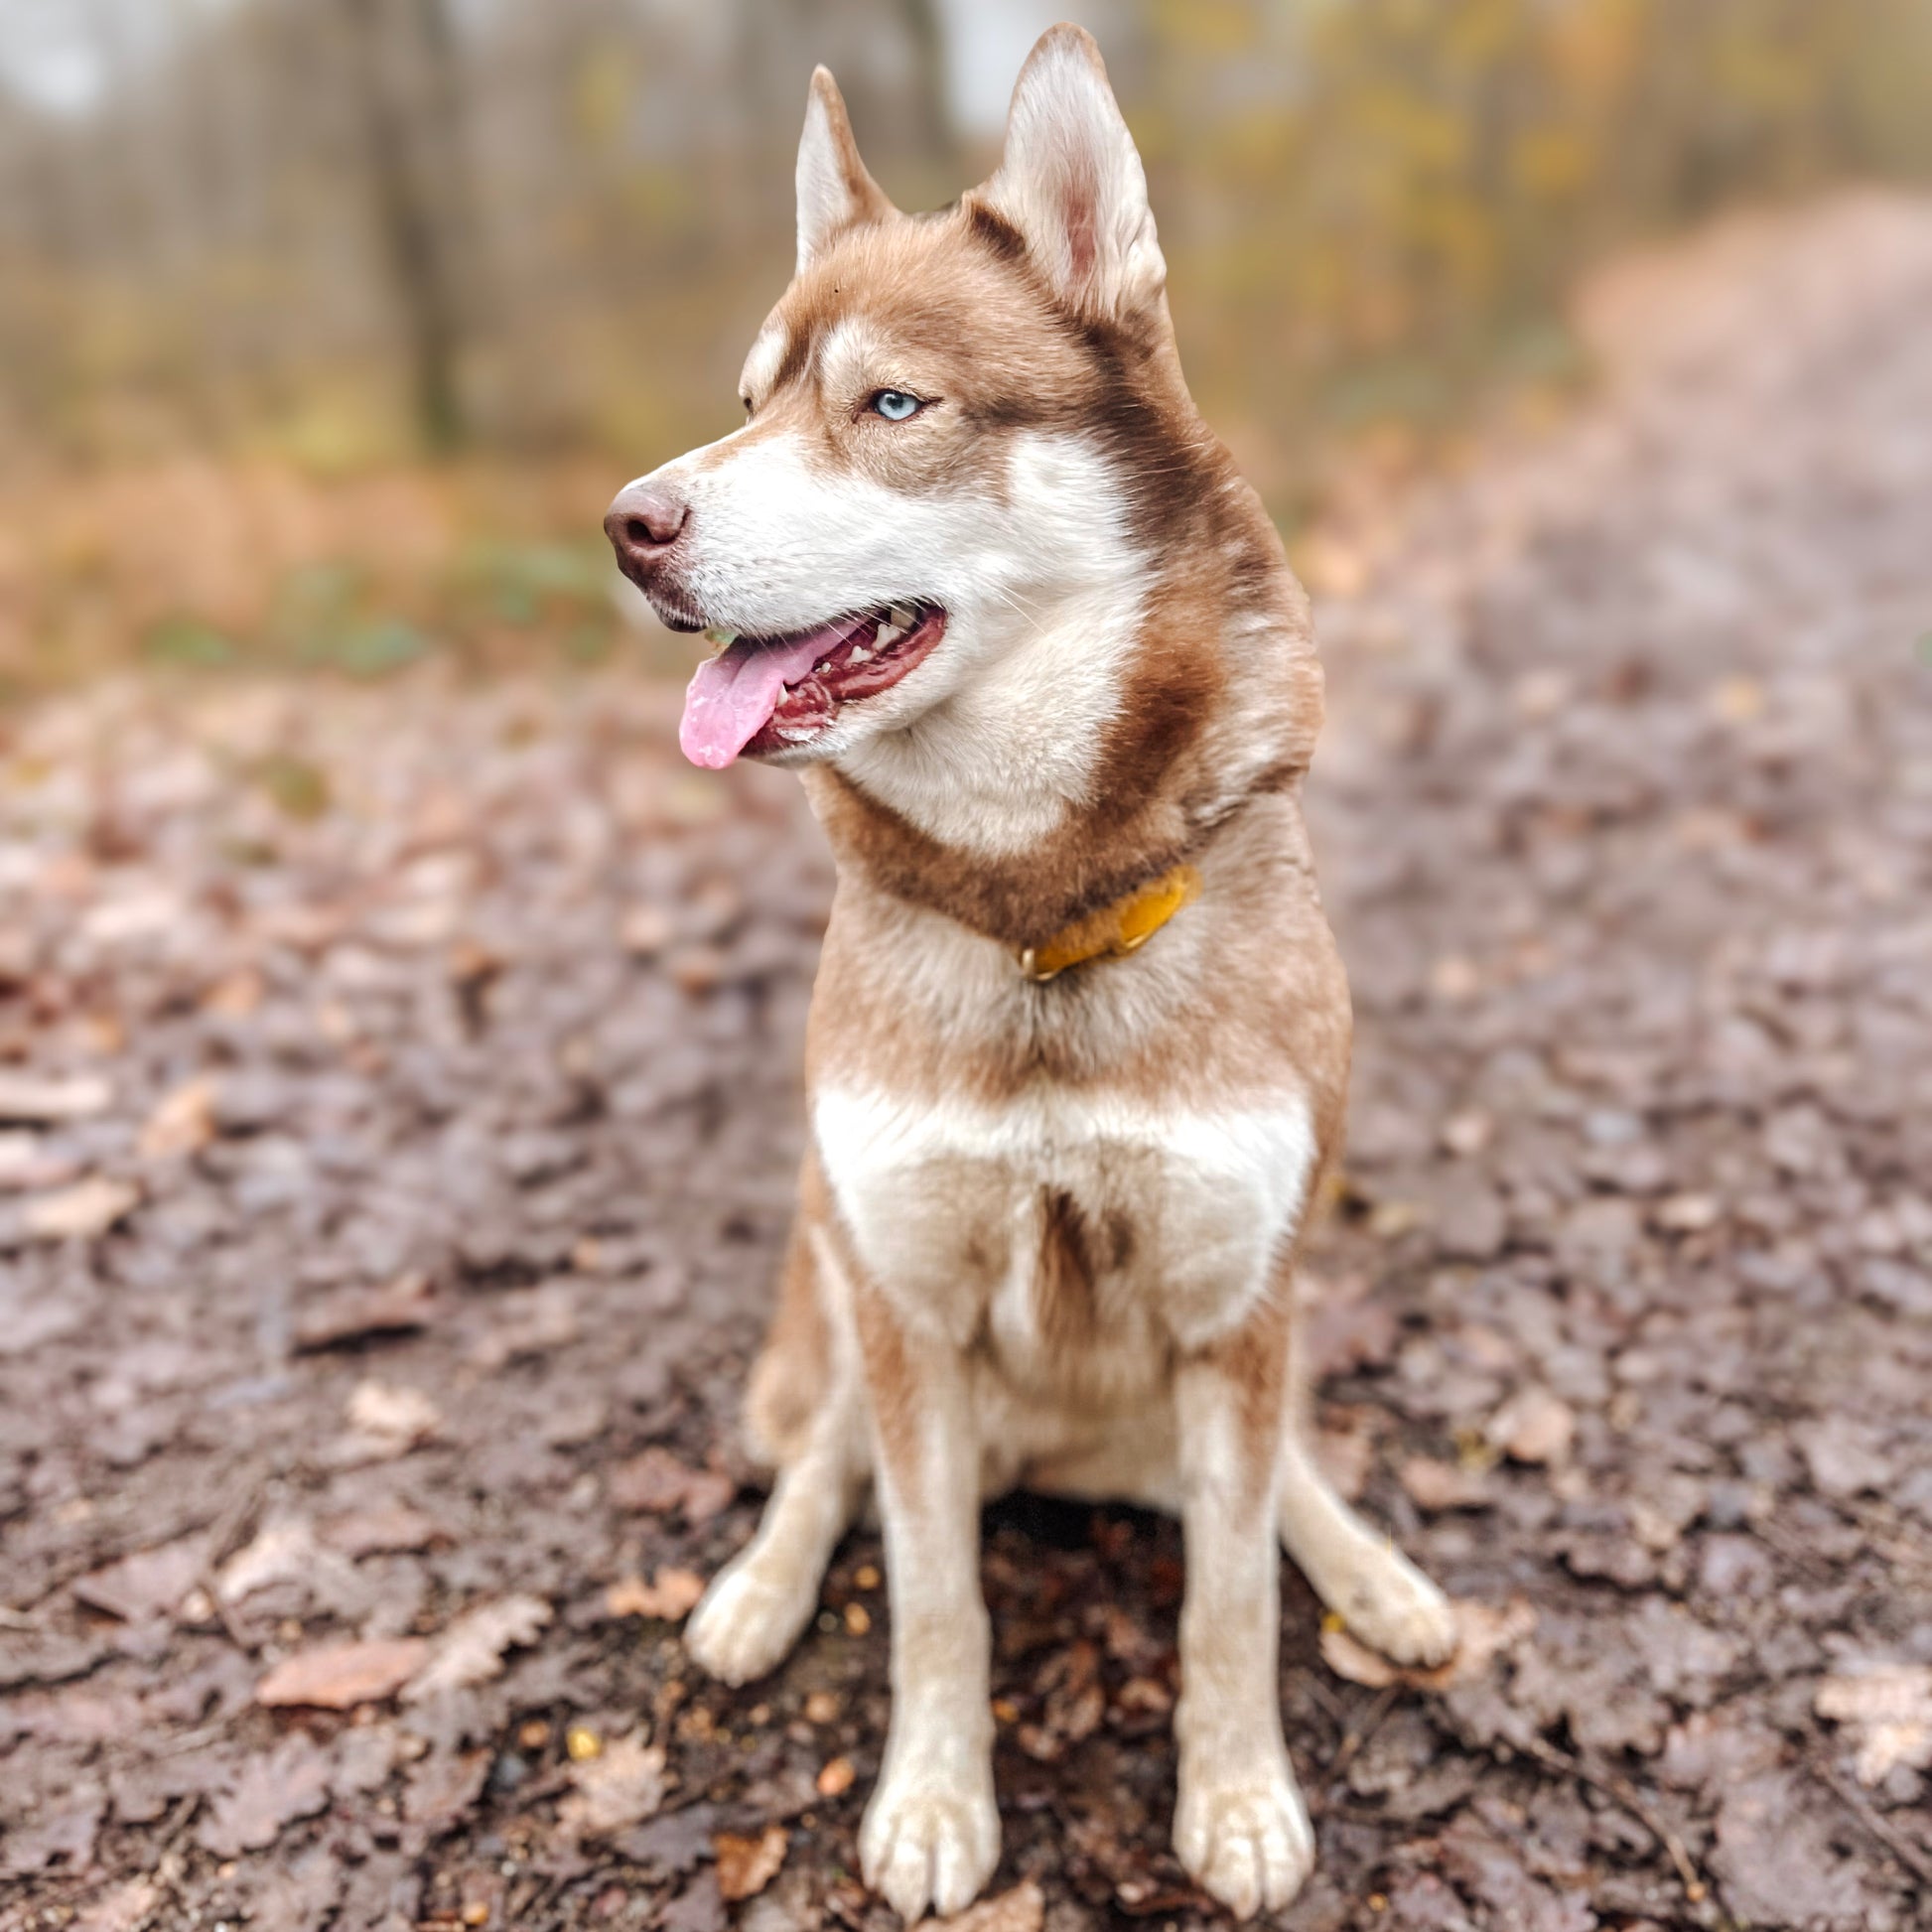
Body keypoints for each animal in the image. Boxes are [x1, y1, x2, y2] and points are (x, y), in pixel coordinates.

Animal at [603, 22, 1452, 1924]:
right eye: (752, 395)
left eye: (890, 407)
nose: (627, 524)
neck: (1039, 915)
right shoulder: (909, 1311)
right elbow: (933, 1598)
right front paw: (932, 1801)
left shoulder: (1234, 1302)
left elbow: (1231, 1592)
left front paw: (1238, 1796)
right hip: (836, 1265)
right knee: (820, 1459)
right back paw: (756, 1589)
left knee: (1285, 1483)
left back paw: (1379, 1576)